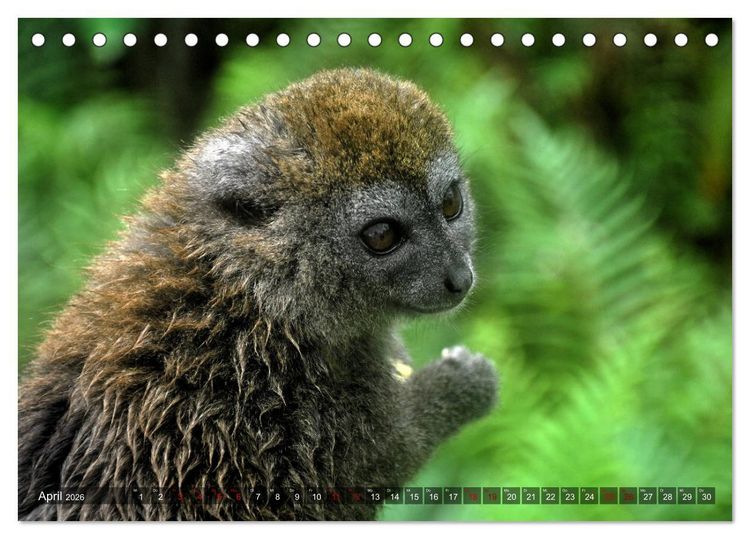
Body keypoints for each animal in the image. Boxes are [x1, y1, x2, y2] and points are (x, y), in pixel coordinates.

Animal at [18, 68, 498, 521]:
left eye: (451, 204)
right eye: (382, 235)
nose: (460, 278)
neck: (246, 291)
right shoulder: (282, 402)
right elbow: (387, 456)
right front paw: (461, 383)